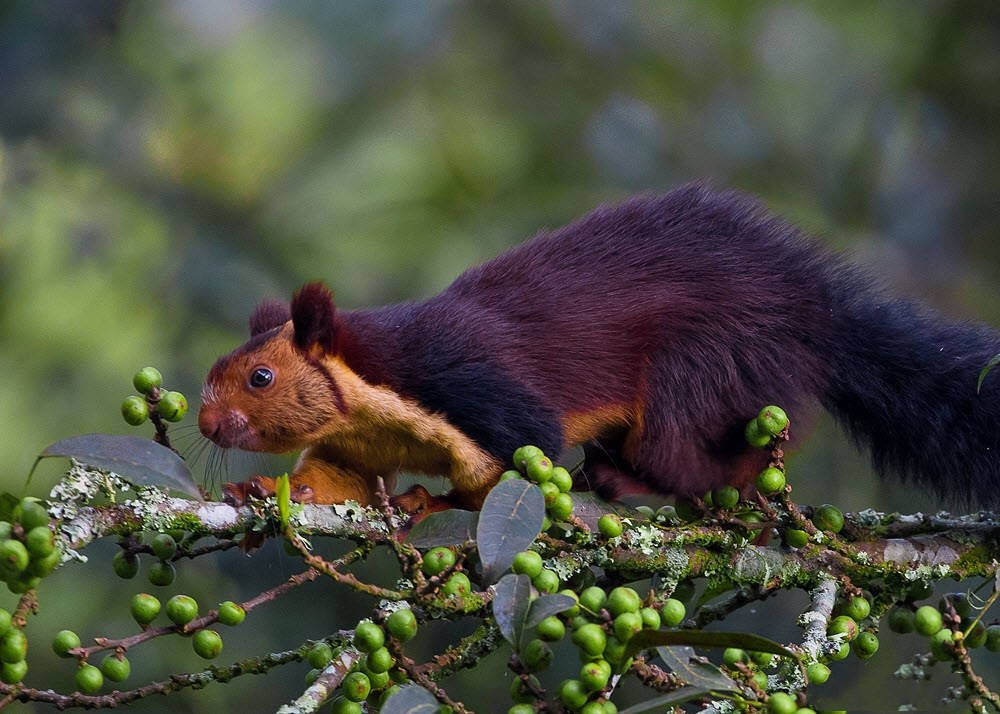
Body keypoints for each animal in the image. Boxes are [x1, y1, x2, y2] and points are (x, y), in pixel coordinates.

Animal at [197, 181, 1000, 508]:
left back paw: (644, 480)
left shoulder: (469, 385)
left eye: (261, 378)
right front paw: (264, 489)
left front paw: (434, 504)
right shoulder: (357, 443)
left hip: (709, 366)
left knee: (702, 453)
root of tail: (815, 312)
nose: (204, 424)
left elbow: (521, 454)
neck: (374, 387)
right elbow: (340, 481)